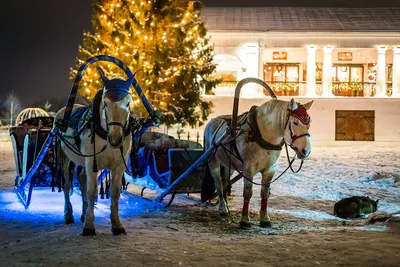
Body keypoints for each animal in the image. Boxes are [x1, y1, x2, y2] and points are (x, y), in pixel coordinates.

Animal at [53, 71, 133, 237]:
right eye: (105, 103)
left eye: (128, 103)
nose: (115, 139)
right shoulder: (92, 164)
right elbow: (92, 192)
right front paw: (89, 226)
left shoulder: (119, 165)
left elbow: (115, 192)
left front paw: (117, 225)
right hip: (65, 157)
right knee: (67, 184)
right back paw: (68, 214)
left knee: (82, 179)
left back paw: (83, 213)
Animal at [203, 98, 312, 228]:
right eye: (295, 123)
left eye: (309, 124)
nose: (306, 151)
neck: (262, 135)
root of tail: (211, 122)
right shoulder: (248, 169)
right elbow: (247, 193)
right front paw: (245, 219)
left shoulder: (270, 170)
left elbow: (264, 193)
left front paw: (264, 218)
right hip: (213, 161)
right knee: (218, 184)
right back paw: (223, 208)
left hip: (229, 165)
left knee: (225, 183)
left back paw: (225, 206)